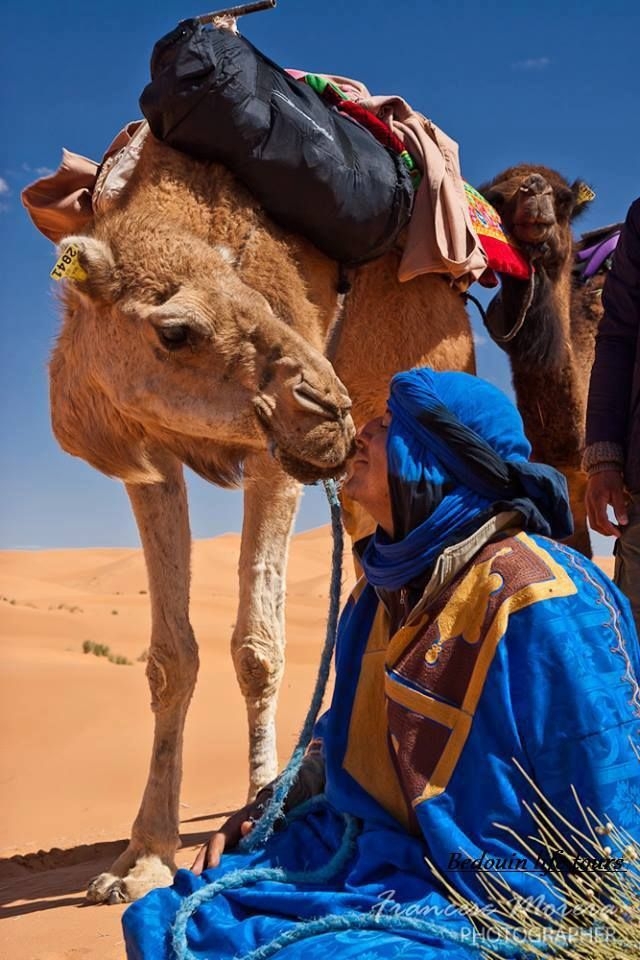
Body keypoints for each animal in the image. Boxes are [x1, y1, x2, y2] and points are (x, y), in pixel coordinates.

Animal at [50, 132, 474, 903]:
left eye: (264, 297)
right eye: (176, 331)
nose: (329, 407)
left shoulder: (277, 460)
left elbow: (258, 648)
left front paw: (261, 813)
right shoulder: (148, 451)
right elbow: (170, 657)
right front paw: (140, 860)